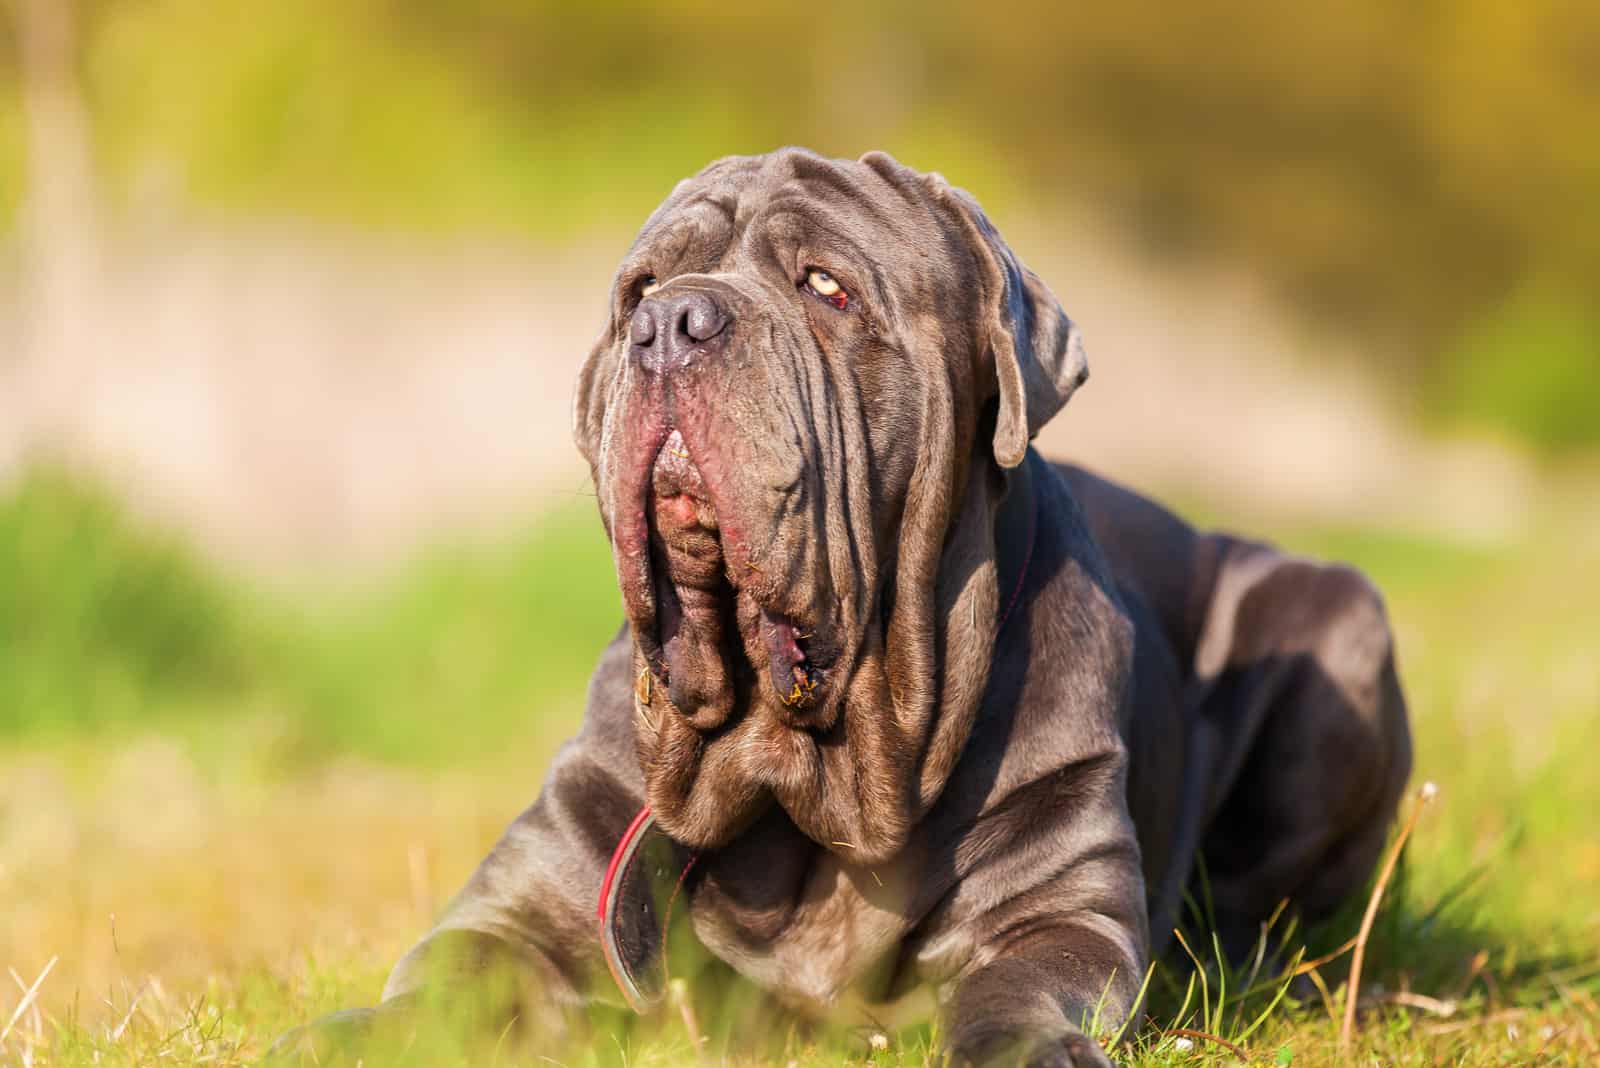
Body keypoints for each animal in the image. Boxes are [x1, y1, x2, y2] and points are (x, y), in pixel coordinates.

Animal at [275, 150, 1414, 1068]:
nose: (670, 321)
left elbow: (1017, 993)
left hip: (1337, 627)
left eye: (825, 286)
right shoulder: (529, 902)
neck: (794, 765)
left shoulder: (1055, 912)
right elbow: (440, 988)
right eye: (637, 288)